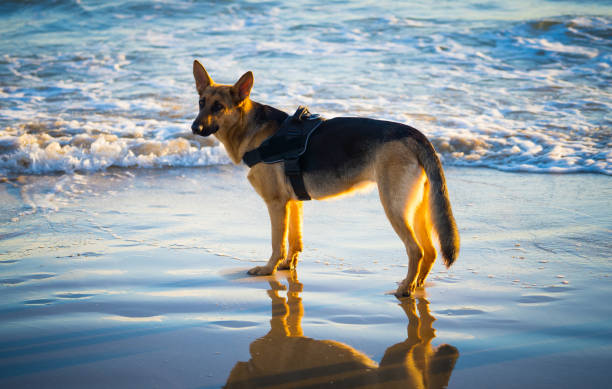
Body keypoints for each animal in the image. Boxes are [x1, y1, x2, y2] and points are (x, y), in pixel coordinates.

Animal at [191, 61, 460, 298]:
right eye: (201, 103)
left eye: (218, 107)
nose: (194, 128)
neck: (251, 128)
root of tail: (415, 134)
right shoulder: (293, 203)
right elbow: (294, 241)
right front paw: (287, 266)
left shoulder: (276, 204)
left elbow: (277, 243)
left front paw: (268, 269)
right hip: (416, 208)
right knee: (430, 251)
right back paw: (416, 284)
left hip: (394, 207)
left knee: (416, 250)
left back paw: (405, 288)